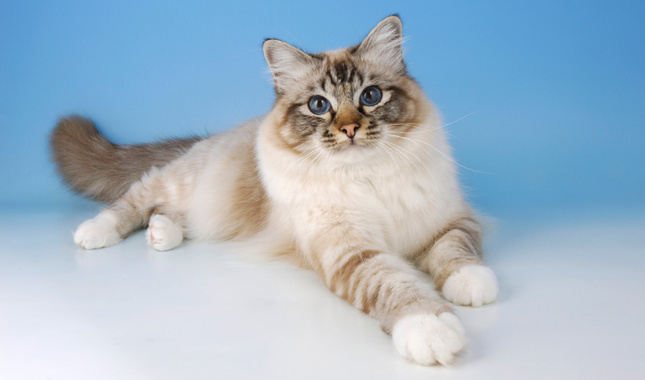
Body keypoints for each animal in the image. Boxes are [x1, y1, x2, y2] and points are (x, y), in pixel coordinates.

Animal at [50, 15, 498, 366]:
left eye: (370, 96)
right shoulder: (353, 250)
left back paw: (162, 235)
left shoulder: (449, 220)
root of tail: (219, 134)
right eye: (319, 106)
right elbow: (395, 283)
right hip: (179, 182)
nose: (350, 129)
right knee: (136, 199)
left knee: (171, 215)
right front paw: (430, 328)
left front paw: (472, 285)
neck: (366, 178)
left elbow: (455, 251)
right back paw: (94, 232)